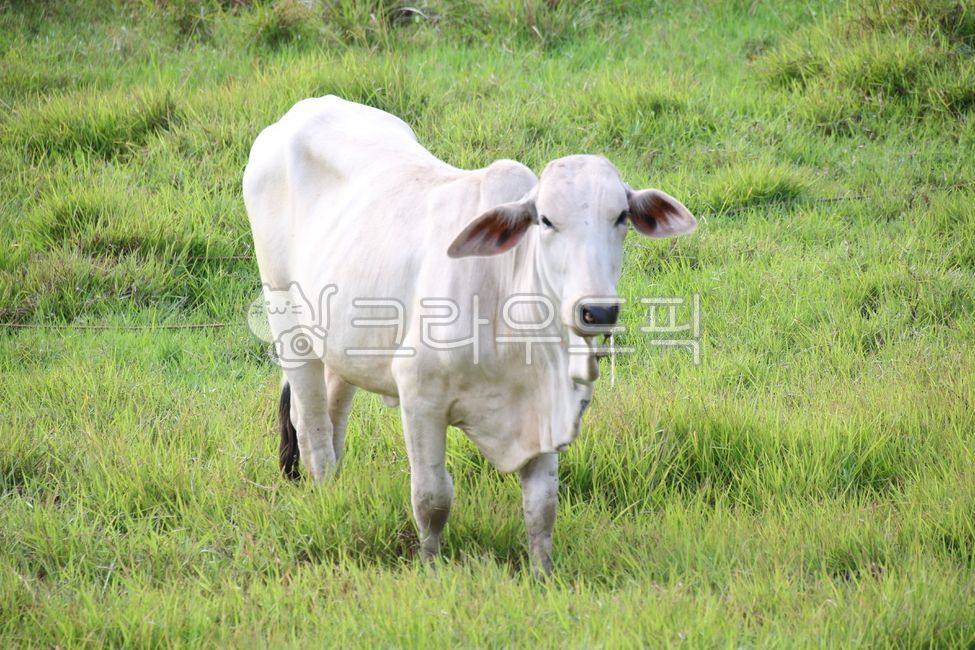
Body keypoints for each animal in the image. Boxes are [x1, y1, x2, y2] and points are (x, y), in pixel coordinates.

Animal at [243, 95, 696, 573]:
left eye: (622, 216)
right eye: (546, 220)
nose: (598, 311)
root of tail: (301, 110)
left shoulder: (546, 409)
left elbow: (542, 506)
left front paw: (542, 575)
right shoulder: (420, 398)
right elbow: (432, 498)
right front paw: (429, 565)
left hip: (341, 340)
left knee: (333, 414)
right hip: (287, 319)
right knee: (311, 428)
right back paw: (325, 491)